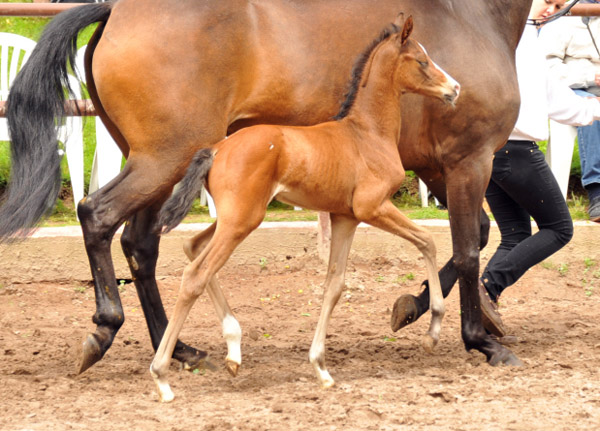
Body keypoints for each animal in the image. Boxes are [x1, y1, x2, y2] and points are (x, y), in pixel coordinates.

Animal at [150, 16, 460, 402]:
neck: (368, 133)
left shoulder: (346, 218)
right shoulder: (372, 207)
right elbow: (427, 242)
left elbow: (334, 284)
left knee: (193, 247)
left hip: (235, 217)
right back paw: (162, 377)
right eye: (421, 61)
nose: (455, 89)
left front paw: (321, 368)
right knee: (195, 274)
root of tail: (217, 149)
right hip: (242, 220)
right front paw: (433, 329)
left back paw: (234, 350)